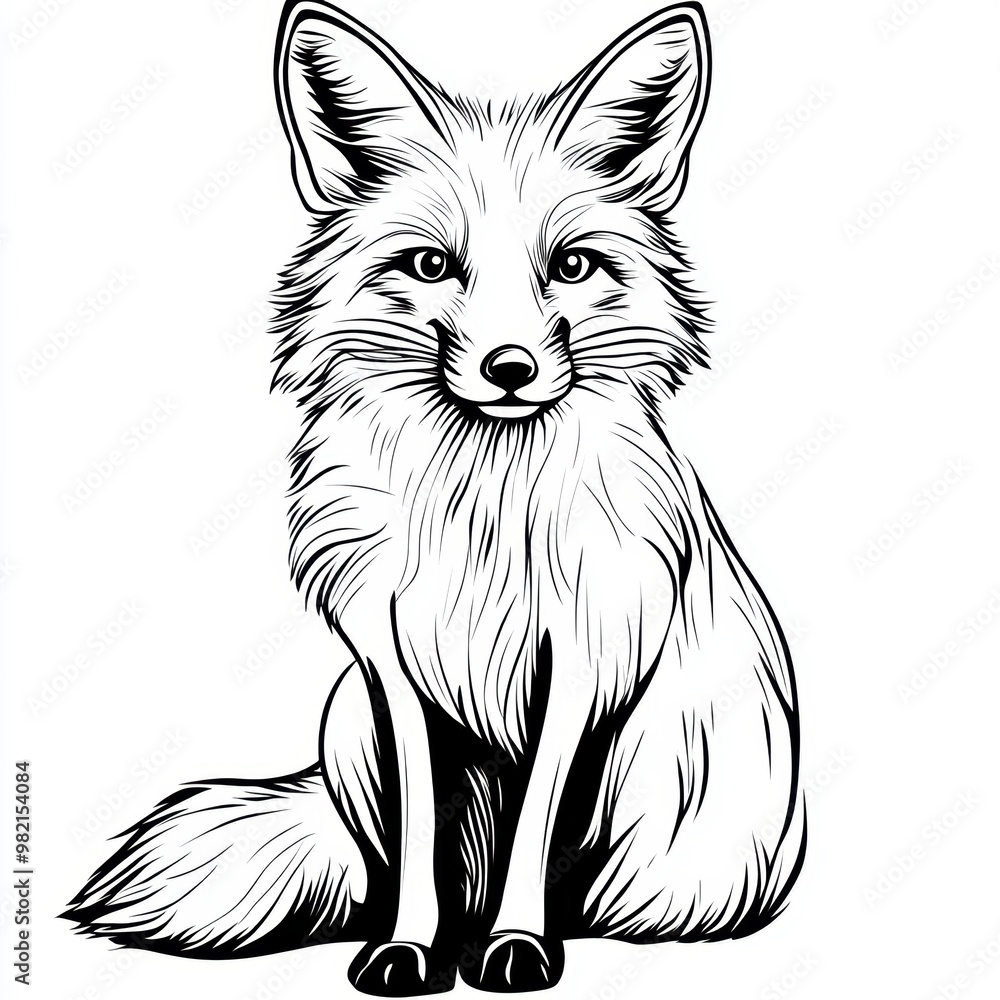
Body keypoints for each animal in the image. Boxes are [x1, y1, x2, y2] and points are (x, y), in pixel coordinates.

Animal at [63, 1, 806, 995]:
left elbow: (535, 828)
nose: (510, 371)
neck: (481, 507)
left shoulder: (580, 657)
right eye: (428, 265)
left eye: (572, 267)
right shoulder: (390, 664)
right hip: (348, 719)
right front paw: (412, 948)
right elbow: (419, 834)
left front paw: (516, 945)